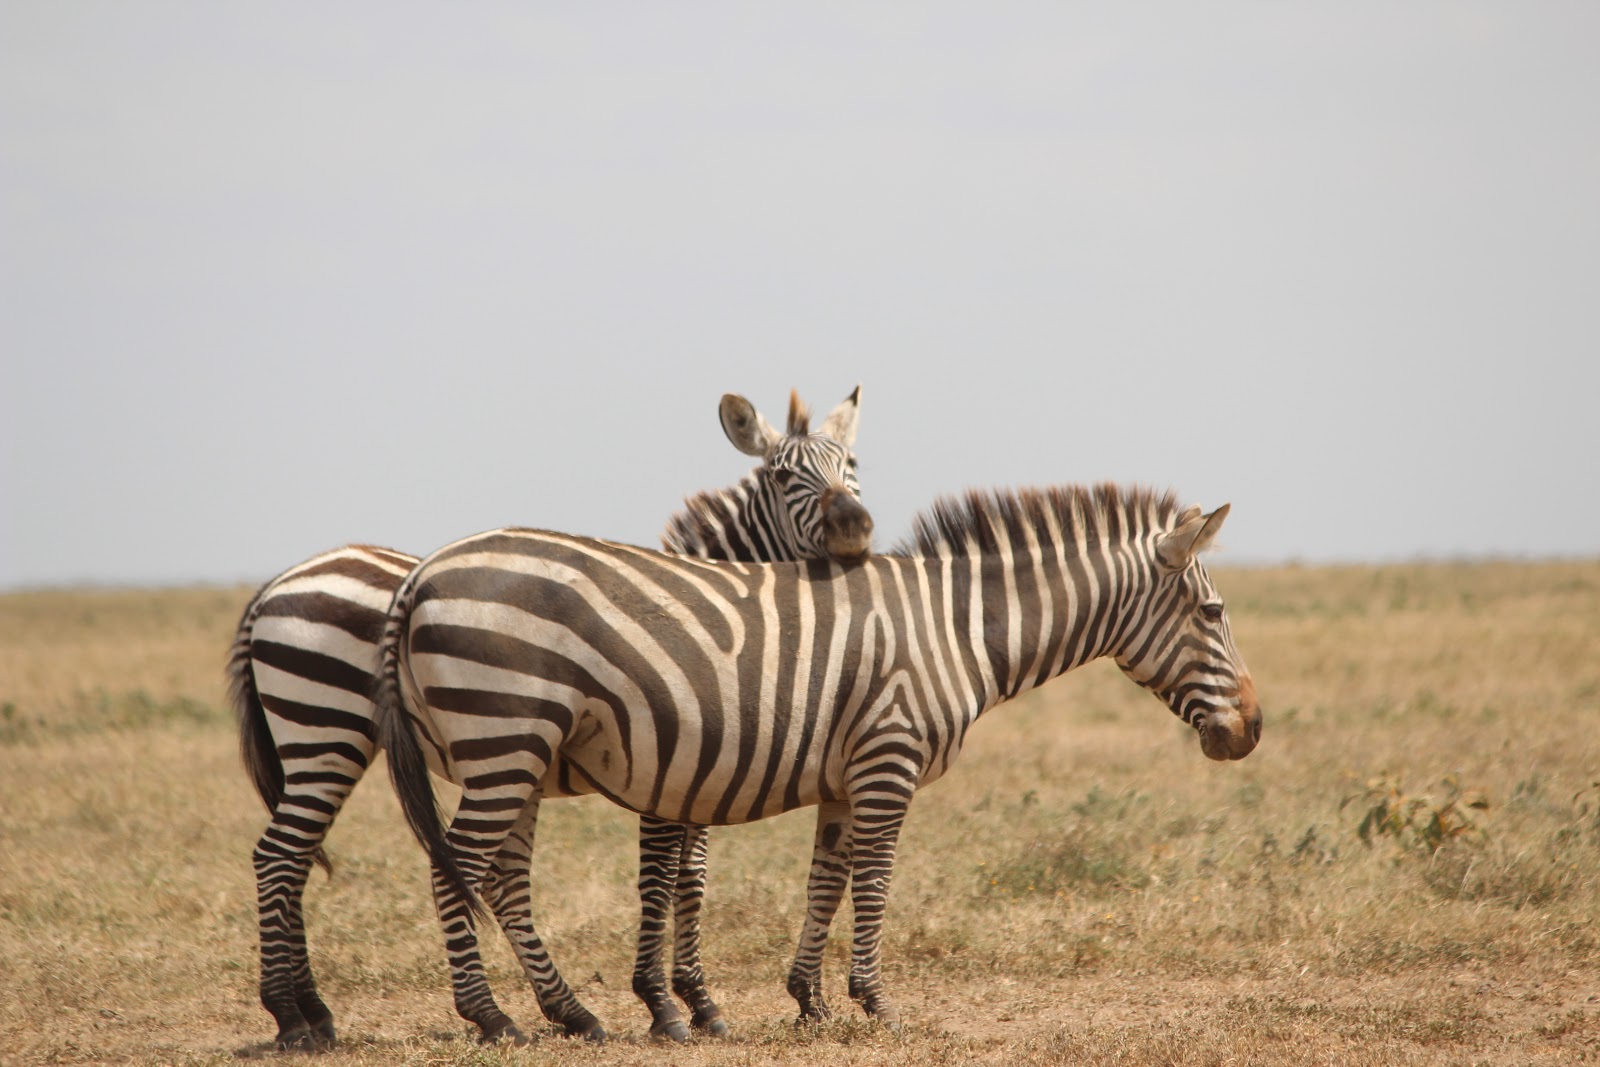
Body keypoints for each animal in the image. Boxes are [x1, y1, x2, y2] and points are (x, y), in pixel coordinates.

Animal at [227, 387, 871, 1050]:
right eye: (784, 477)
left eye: (854, 466)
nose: (853, 526)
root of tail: (274, 586)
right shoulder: (665, 770)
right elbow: (661, 878)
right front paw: (662, 1004)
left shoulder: (699, 775)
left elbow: (691, 878)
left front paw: (699, 1001)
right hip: (332, 730)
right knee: (282, 857)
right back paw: (299, 1014)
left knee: (304, 860)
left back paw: (318, 1012)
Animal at [373, 482, 1262, 1037]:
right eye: (1214, 611)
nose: (1253, 728)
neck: (956, 630)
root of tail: (425, 569)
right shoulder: (889, 756)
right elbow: (873, 881)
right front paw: (877, 1001)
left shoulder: (846, 774)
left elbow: (826, 879)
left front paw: (811, 999)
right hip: (504, 735)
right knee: (457, 868)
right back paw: (490, 1016)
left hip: (511, 750)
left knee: (498, 877)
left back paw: (572, 1014)